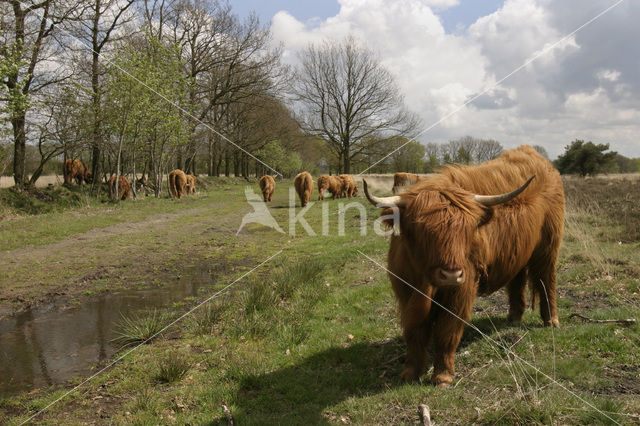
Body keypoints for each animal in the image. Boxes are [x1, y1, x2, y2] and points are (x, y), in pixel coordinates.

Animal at [364, 146, 564, 386]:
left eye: (468, 229)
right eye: (420, 228)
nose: (451, 275)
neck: (425, 282)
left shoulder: (462, 289)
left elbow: (447, 330)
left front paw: (443, 375)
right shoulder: (405, 291)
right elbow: (414, 332)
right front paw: (410, 372)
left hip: (548, 247)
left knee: (547, 280)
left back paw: (551, 320)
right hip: (518, 251)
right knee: (517, 280)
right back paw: (514, 317)